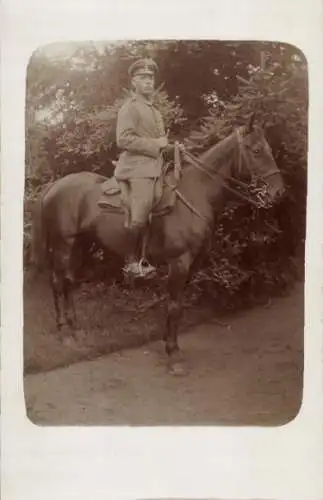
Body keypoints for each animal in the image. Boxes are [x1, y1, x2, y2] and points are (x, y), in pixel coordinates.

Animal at [30, 118, 284, 376]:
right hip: (64, 245)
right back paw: (64, 332)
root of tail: (55, 186)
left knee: (69, 282)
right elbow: (174, 306)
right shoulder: (179, 262)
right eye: (256, 150)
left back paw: (75, 330)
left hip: (81, 245)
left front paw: (169, 344)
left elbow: (176, 305)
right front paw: (173, 355)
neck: (195, 193)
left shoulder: (191, 264)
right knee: (58, 282)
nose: (279, 191)